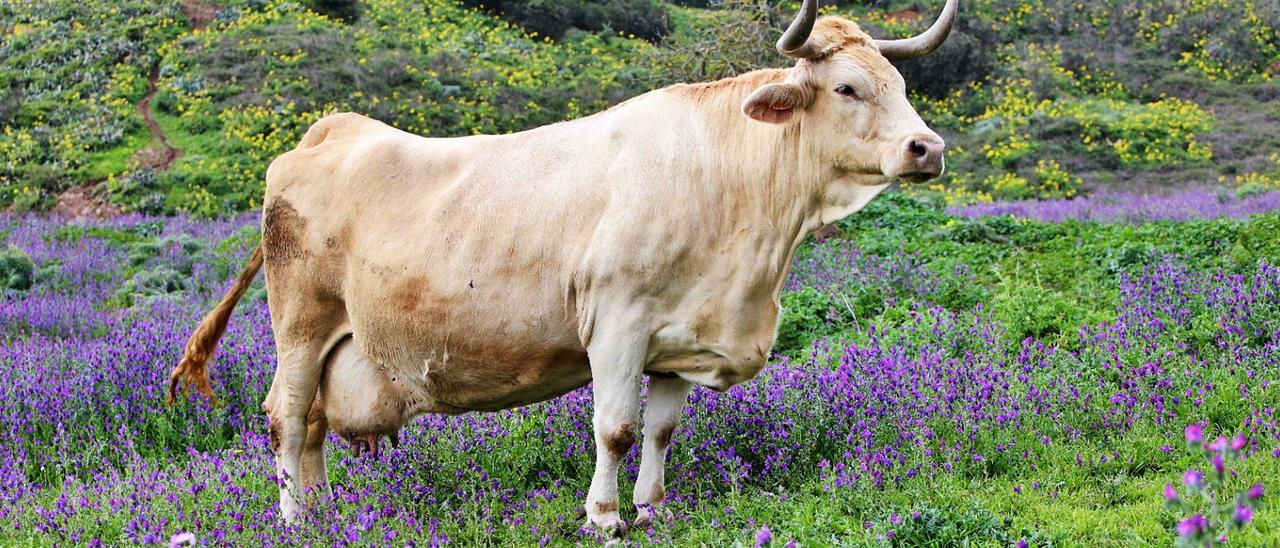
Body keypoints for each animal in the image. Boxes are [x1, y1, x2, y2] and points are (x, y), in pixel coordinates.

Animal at [167, 0, 957, 533]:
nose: (928, 147)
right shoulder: (617, 324)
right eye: (848, 87)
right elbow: (615, 428)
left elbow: (661, 431)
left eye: (900, 83)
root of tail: (331, 130)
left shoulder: (679, 337)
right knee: (286, 416)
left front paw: (654, 510)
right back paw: (295, 520)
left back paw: (327, 513)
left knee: (311, 430)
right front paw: (604, 516)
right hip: (300, 327)